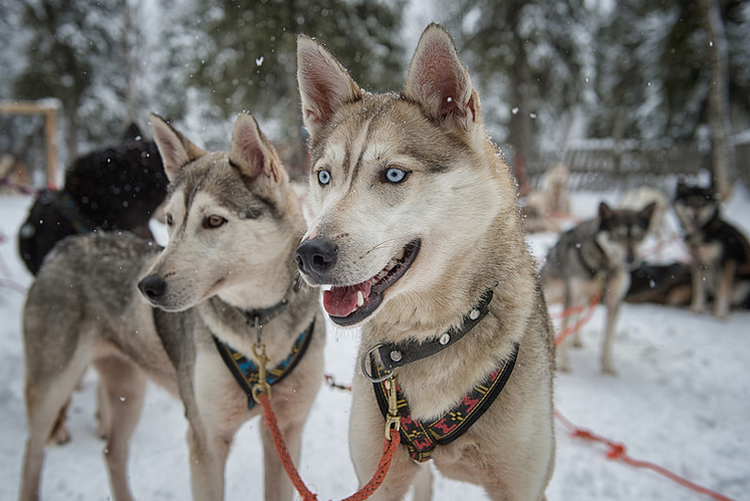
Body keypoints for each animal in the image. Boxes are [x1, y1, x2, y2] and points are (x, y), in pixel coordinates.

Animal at [19, 112, 324, 500]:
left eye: (213, 220)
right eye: (170, 220)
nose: (147, 286)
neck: (257, 320)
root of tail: (67, 244)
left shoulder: (286, 429)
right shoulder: (205, 441)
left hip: (127, 390)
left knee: (112, 452)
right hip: (52, 387)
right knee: (33, 452)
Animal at [296, 23, 556, 500]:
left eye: (394, 174)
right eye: (324, 176)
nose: (308, 254)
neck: (430, 337)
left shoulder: (524, 486)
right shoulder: (378, 475)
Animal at [540, 201, 656, 374]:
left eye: (639, 236)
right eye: (617, 235)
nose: (631, 259)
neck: (604, 267)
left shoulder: (614, 302)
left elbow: (608, 338)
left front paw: (607, 366)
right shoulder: (571, 297)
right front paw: (564, 365)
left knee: (578, 314)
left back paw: (577, 339)